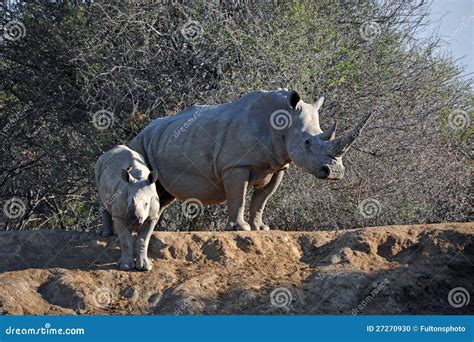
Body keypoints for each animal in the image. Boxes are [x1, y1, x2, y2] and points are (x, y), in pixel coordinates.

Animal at [129, 89, 370, 231]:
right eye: (307, 143)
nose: (335, 173)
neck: (283, 123)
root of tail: (144, 129)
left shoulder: (278, 165)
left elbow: (261, 200)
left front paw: (260, 228)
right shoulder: (236, 164)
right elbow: (239, 196)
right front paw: (240, 228)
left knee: (163, 195)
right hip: (140, 144)